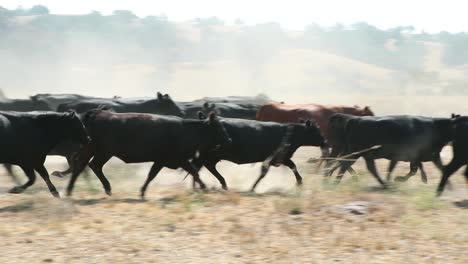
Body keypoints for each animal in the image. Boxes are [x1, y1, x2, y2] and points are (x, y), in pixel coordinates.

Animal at [65, 108, 233, 197]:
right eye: (218, 127)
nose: (229, 140)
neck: (186, 130)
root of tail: (98, 113)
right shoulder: (169, 159)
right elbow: (153, 175)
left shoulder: (176, 160)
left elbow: (193, 172)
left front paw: (204, 187)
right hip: (103, 151)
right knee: (91, 166)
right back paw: (105, 188)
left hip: (94, 150)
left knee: (83, 166)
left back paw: (70, 190)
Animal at [192, 114, 328, 191]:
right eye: (317, 131)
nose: (325, 142)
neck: (289, 133)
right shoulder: (273, 158)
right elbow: (264, 172)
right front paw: (252, 188)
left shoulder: (281, 159)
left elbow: (292, 166)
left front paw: (299, 182)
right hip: (209, 155)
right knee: (200, 166)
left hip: (211, 156)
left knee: (202, 166)